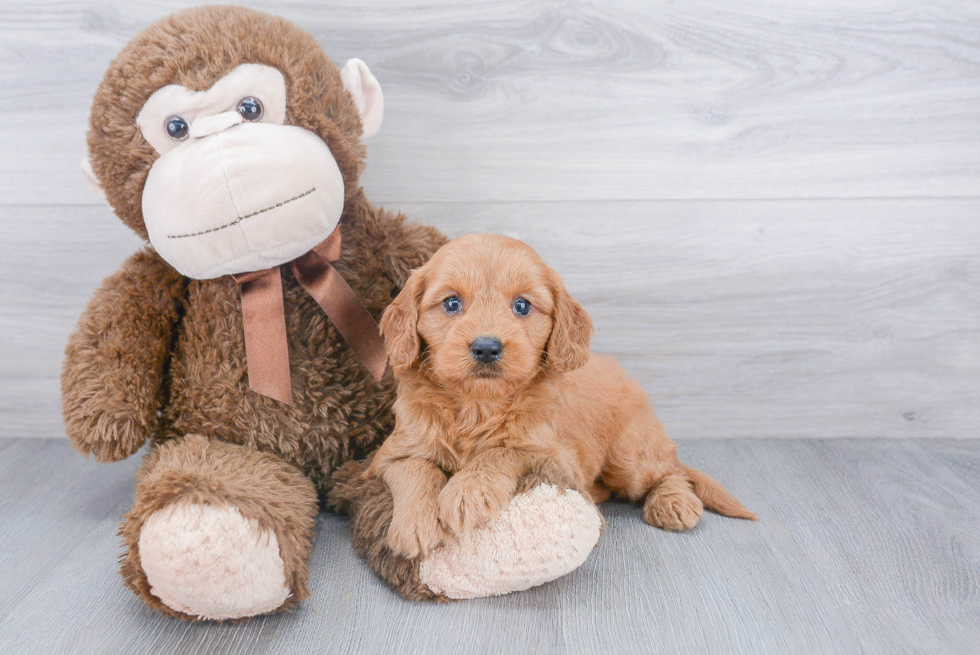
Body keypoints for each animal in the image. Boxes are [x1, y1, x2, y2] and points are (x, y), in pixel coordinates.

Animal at [370, 233, 756, 556]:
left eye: (522, 306)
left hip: (631, 455)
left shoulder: (555, 457)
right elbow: (416, 469)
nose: (486, 348)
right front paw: (415, 524)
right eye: (451, 304)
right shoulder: (389, 455)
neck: (478, 405)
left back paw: (674, 503)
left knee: (671, 471)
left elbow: (503, 450)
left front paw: (468, 491)